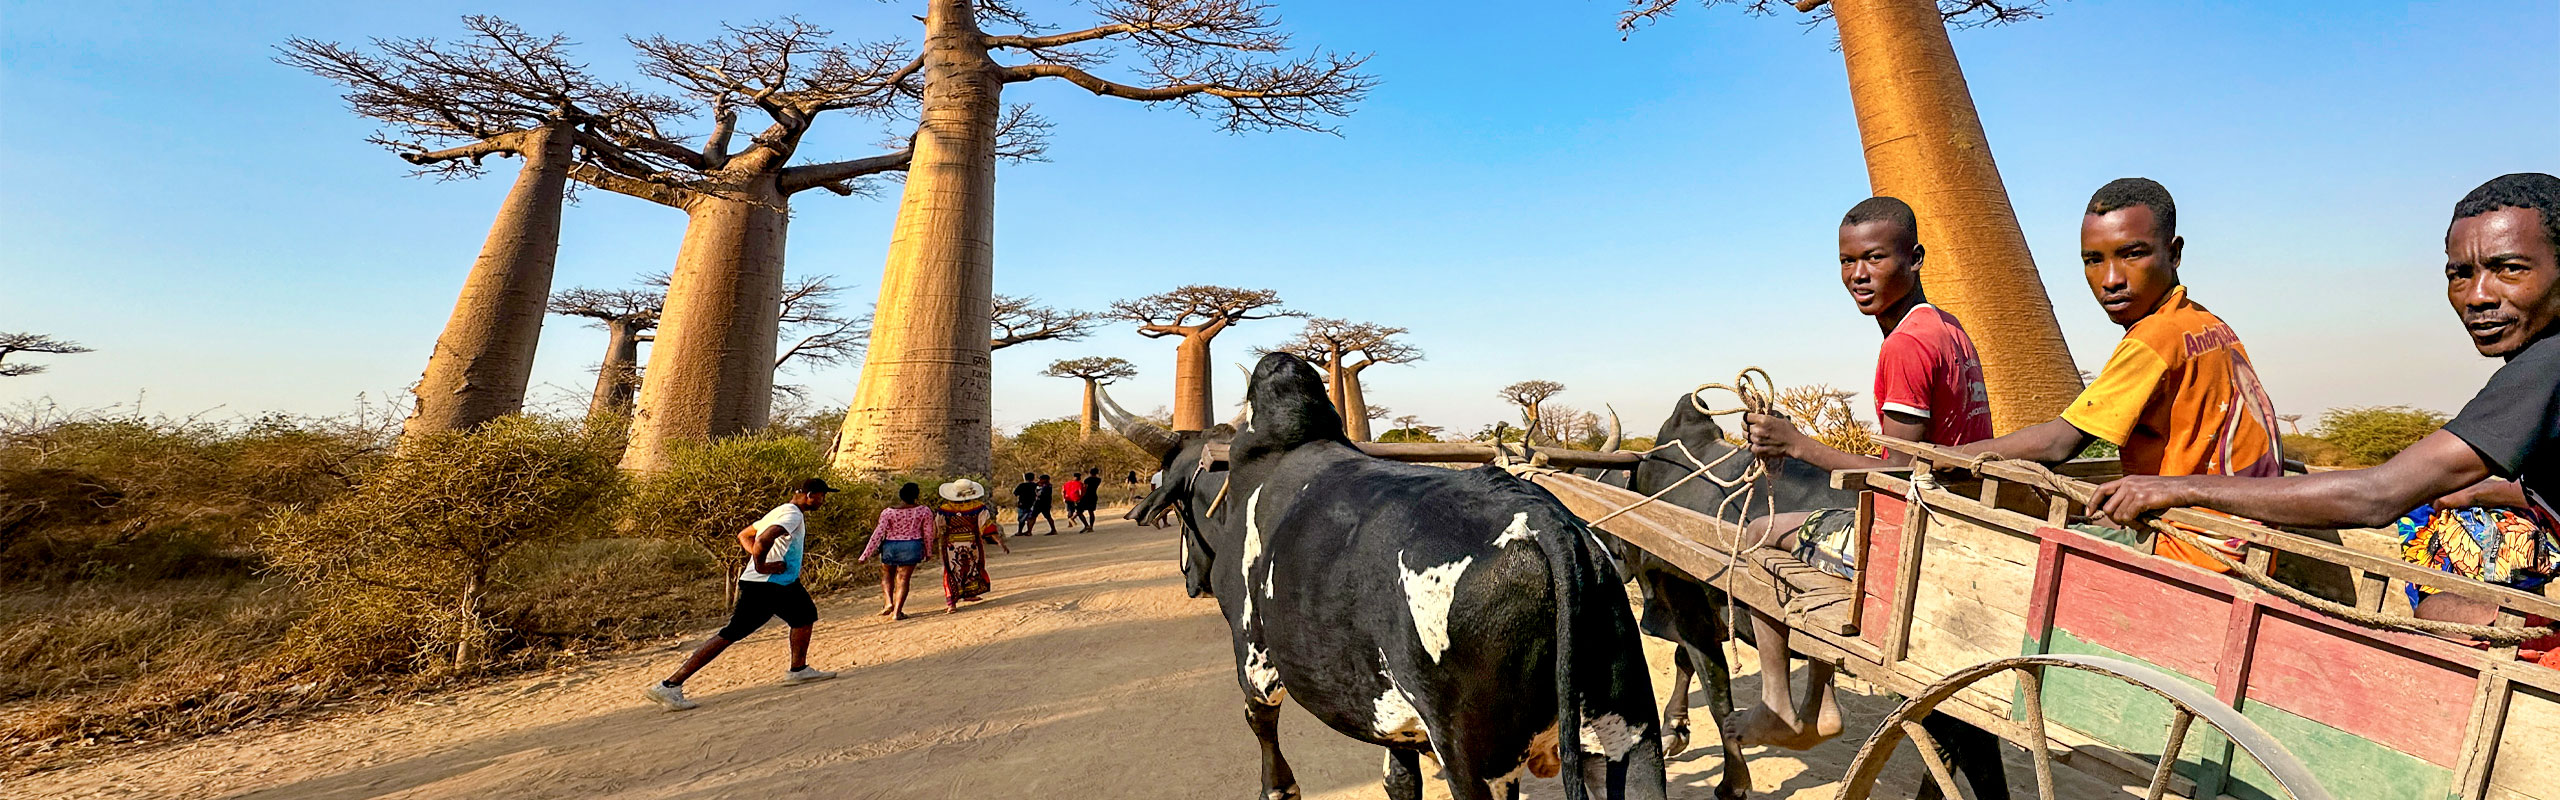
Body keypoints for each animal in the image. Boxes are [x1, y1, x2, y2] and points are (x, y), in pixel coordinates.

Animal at [1100, 356, 1658, 800]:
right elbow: (1399, 780)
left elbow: (1261, 726)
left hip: (1475, 761)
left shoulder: (1253, 657)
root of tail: (1545, 522)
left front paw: (1278, 789)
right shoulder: (1395, 718)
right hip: (1627, 739)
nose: (1192, 580)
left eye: (1177, 504)